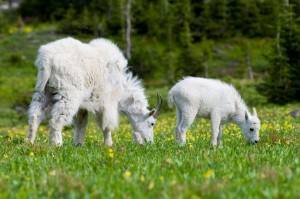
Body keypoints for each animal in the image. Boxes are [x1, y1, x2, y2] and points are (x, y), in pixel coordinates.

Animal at [25, 37, 162, 146]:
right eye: (152, 123)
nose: (149, 142)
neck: (122, 89)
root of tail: (47, 60)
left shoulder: (83, 106)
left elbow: (81, 123)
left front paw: (78, 144)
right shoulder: (108, 102)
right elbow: (106, 125)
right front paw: (109, 145)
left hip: (44, 91)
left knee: (35, 116)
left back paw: (29, 142)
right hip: (68, 94)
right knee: (56, 120)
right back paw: (56, 144)